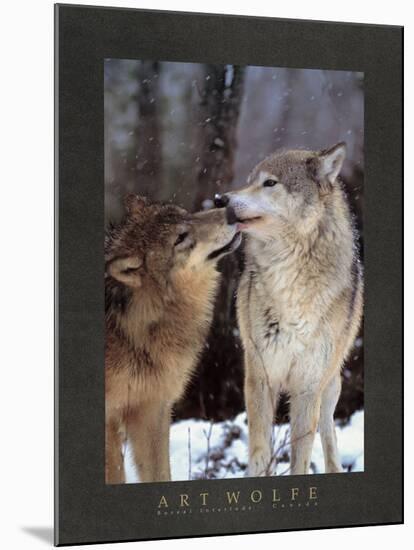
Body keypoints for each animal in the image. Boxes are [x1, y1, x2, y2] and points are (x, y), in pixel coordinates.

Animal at [104, 196, 243, 486]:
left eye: (187, 215)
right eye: (180, 238)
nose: (231, 210)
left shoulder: (152, 410)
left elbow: (159, 474)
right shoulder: (109, 417)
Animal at [215, 143, 364, 478]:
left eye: (270, 183)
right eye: (249, 181)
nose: (220, 199)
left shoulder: (308, 385)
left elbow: (300, 457)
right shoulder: (259, 374)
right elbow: (260, 453)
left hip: (329, 385)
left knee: (328, 432)